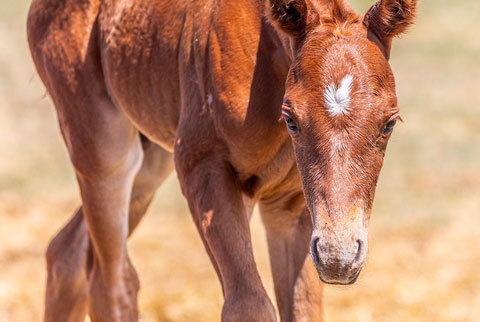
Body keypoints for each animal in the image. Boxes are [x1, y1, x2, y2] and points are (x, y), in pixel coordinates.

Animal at [27, 0, 416, 320]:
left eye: (389, 122)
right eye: (291, 119)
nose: (340, 256)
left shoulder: (291, 205)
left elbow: (303, 309)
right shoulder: (204, 167)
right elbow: (248, 306)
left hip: (151, 157)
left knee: (67, 253)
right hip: (102, 145)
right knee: (112, 282)